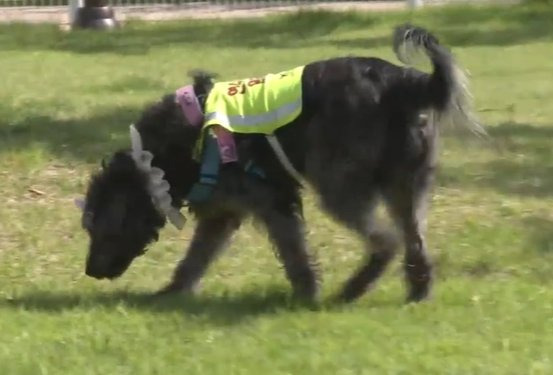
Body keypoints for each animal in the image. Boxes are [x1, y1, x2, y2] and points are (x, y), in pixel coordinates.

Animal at [75, 25, 480, 304]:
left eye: (100, 227)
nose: (90, 271)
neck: (168, 151)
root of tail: (405, 81)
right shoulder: (221, 216)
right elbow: (194, 259)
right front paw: (173, 292)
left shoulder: (273, 201)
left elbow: (294, 253)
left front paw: (306, 294)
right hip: (406, 187)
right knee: (414, 242)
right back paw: (416, 292)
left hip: (340, 187)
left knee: (388, 241)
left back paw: (354, 287)